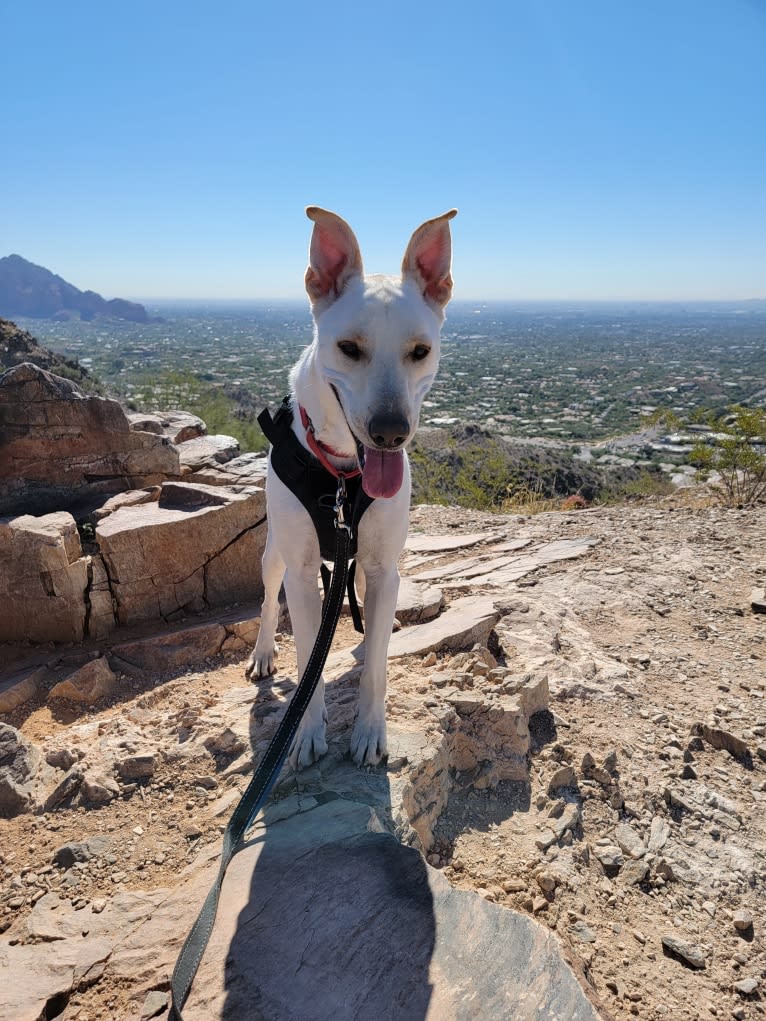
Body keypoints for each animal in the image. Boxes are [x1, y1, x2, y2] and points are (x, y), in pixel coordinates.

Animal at [247, 207, 455, 767]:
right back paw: (263, 653)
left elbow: (378, 666)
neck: (340, 474)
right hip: (273, 553)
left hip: (365, 563)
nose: (390, 431)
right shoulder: (300, 572)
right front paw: (305, 733)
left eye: (420, 351)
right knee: (267, 601)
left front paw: (369, 730)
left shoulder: (383, 568)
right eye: (348, 348)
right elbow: (307, 662)